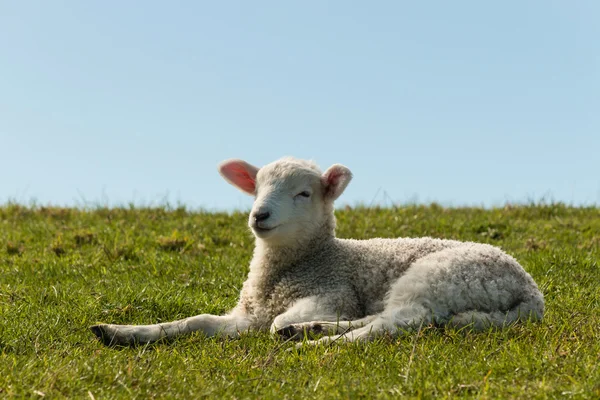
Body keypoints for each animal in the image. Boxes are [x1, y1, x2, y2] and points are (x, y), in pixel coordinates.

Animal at [91, 156, 548, 346]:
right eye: (256, 187)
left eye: (304, 193)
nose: (259, 214)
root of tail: (530, 292)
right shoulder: (247, 314)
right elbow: (194, 322)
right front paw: (122, 332)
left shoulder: (332, 292)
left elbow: (277, 322)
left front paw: (289, 328)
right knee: (380, 318)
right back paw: (312, 331)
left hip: (438, 279)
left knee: (394, 324)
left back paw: (312, 343)